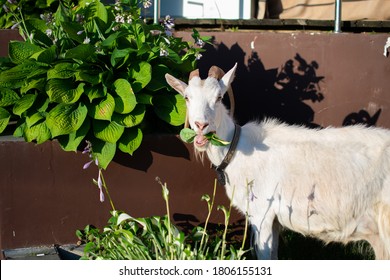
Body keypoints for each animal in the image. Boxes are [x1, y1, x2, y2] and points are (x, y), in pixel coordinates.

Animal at [166, 64, 390, 260]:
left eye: (219, 97)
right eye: (187, 97)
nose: (200, 125)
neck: (237, 149)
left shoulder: (262, 213)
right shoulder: (274, 221)